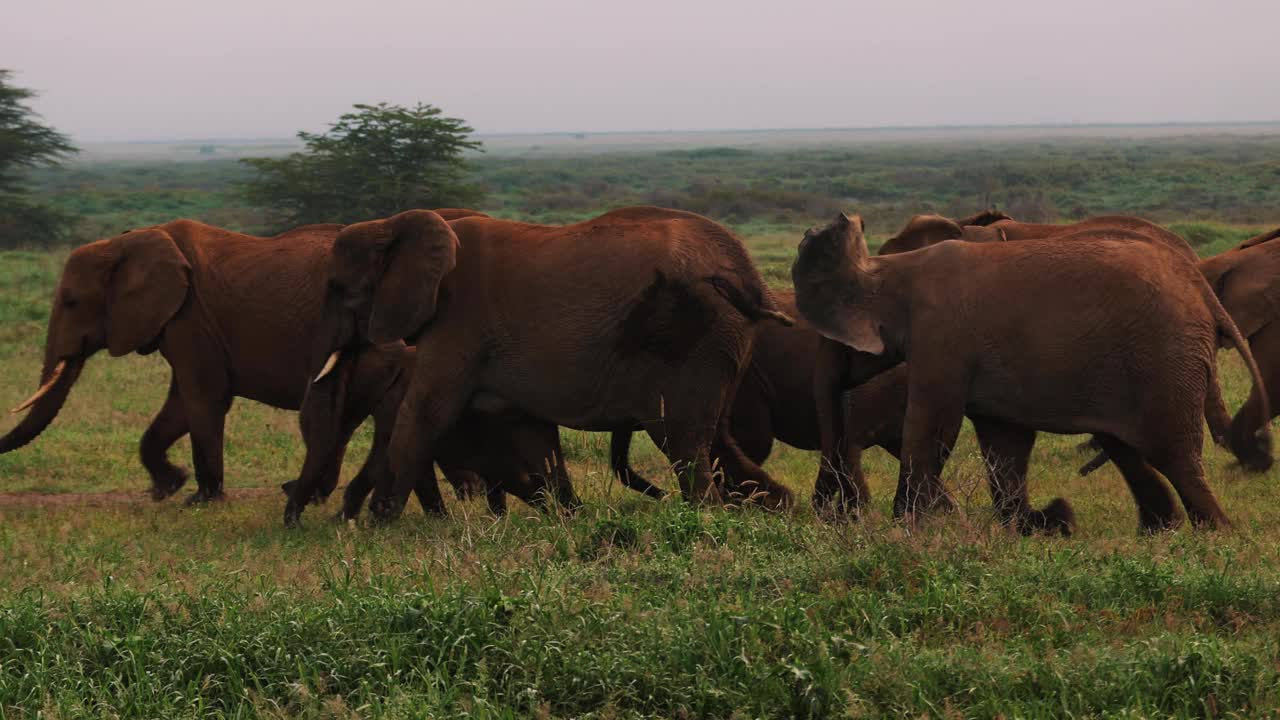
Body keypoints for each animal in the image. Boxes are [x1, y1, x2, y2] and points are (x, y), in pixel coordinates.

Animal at [0, 208, 509, 504]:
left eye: (70, 302)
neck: (133, 240)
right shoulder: (183, 323)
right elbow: (179, 405)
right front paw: (166, 488)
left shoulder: (191, 316)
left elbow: (203, 399)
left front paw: (201, 498)